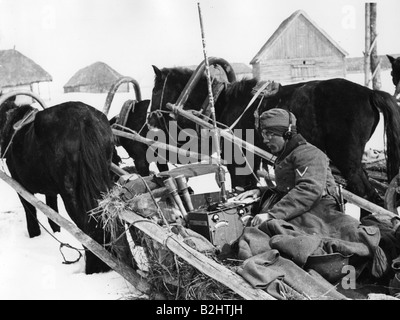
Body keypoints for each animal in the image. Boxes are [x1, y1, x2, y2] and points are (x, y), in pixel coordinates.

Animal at [0, 94, 117, 272]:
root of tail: (84, 120)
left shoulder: (21, 187)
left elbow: (31, 214)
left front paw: (34, 236)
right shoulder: (51, 191)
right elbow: (53, 216)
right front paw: (57, 234)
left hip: (70, 193)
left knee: (85, 227)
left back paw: (93, 266)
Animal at [148, 64, 400, 210]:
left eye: (155, 89)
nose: (149, 118)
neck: (220, 101)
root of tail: (369, 92)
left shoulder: (239, 160)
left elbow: (241, 186)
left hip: (348, 162)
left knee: (369, 196)